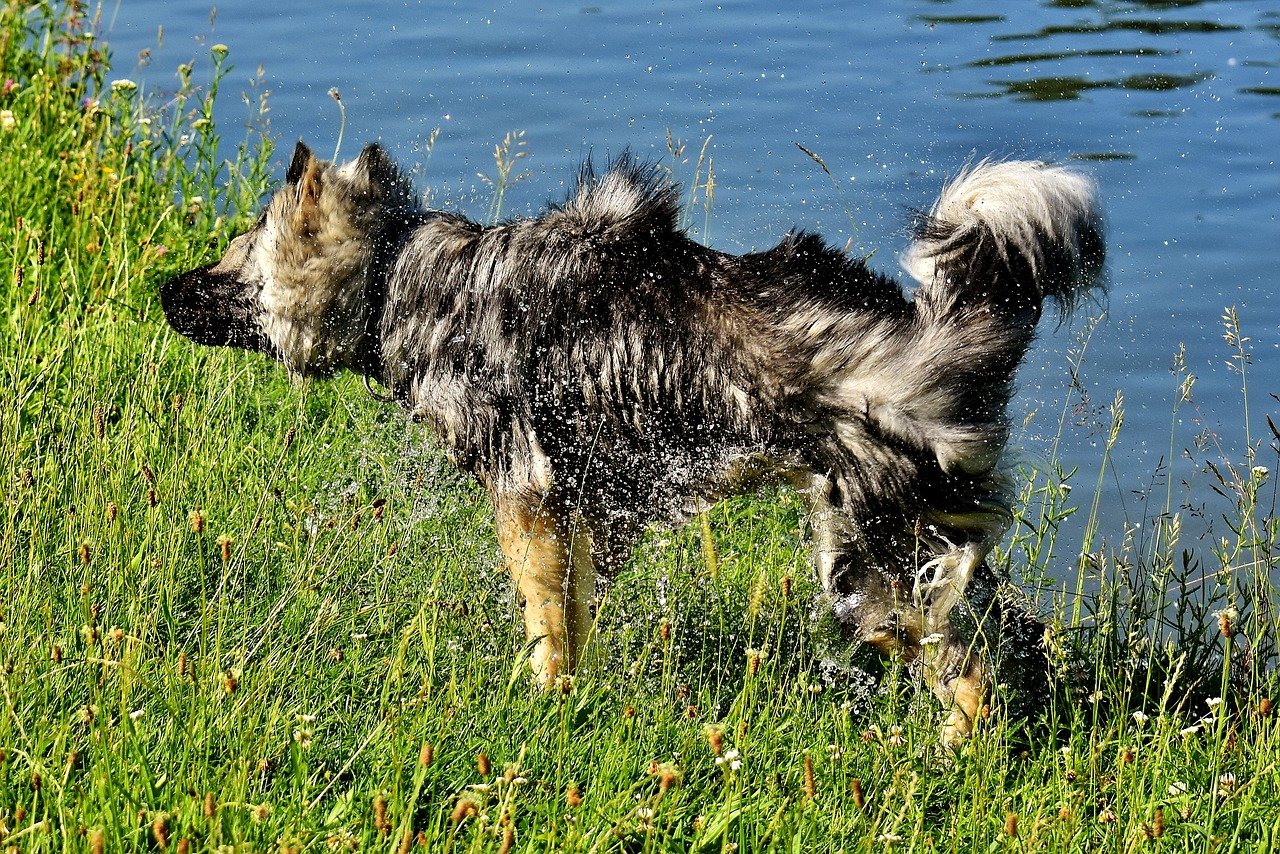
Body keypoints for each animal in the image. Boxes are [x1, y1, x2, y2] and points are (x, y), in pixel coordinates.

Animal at [157, 140, 1100, 742]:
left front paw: (541, 703)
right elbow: (574, 613)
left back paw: (945, 759)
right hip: (892, 558)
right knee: (1003, 640)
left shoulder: (527, 498)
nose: (160, 286)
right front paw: (569, 694)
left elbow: (544, 622)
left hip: (875, 565)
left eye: (233, 257)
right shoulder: (583, 511)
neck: (401, 276)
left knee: (970, 670)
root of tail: (934, 331)